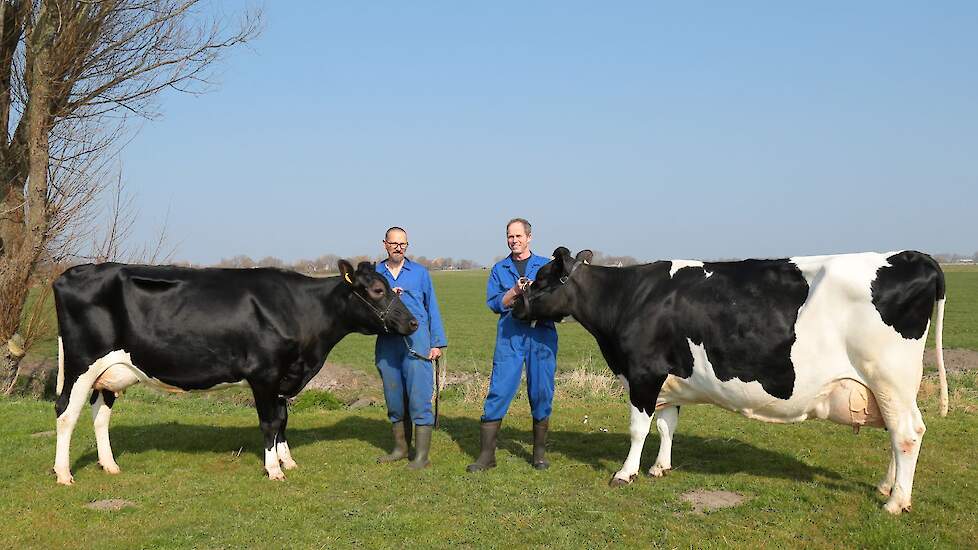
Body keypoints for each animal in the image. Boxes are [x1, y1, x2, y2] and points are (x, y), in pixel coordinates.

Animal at [52, 260, 416, 486]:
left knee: (100, 415)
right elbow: (269, 423)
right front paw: (273, 470)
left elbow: (282, 420)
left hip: (109, 372)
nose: (413, 322)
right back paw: (64, 474)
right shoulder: (264, 374)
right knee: (65, 413)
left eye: (393, 288)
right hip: (81, 365)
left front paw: (287, 461)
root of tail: (72, 273)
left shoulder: (284, 376)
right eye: (377, 291)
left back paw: (110, 465)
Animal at [510, 248, 944, 516]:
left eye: (541, 279)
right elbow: (666, 426)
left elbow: (638, 428)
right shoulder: (669, 379)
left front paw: (625, 473)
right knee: (896, 434)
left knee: (907, 433)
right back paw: (886, 487)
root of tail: (914, 256)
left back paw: (896, 502)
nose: (512, 306)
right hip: (887, 388)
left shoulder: (643, 373)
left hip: (889, 378)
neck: (628, 298)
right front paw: (660, 468)